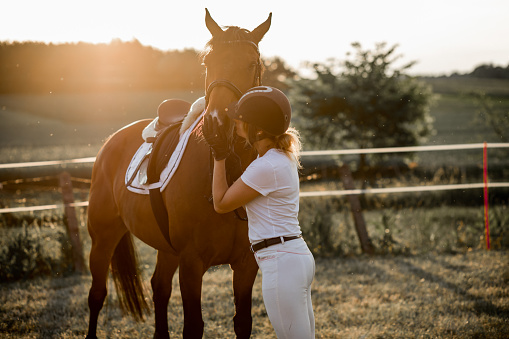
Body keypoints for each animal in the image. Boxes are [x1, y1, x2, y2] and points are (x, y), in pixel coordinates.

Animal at [85, 8, 272, 339]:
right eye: (208, 63)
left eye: (252, 64)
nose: (217, 125)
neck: (226, 175)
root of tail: (112, 141)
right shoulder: (191, 263)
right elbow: (193, 326)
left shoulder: (245, 264)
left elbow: (243, 322)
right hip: (103, 238)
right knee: (97, 294)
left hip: (165, 247)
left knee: (159, 287)